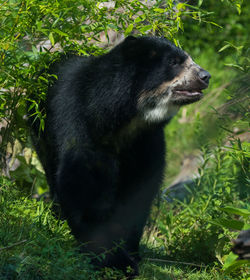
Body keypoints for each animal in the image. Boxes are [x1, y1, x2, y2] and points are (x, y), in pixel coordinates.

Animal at [30, 36, 211, 276]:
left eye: (188, 58)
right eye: (174, 61)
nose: (205, 76)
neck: (126, 118)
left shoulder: (147, 140)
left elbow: (140, 190)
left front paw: (129, 253)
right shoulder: (79, 122)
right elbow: (83, 182)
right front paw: (113, 260)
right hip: (40, 131)